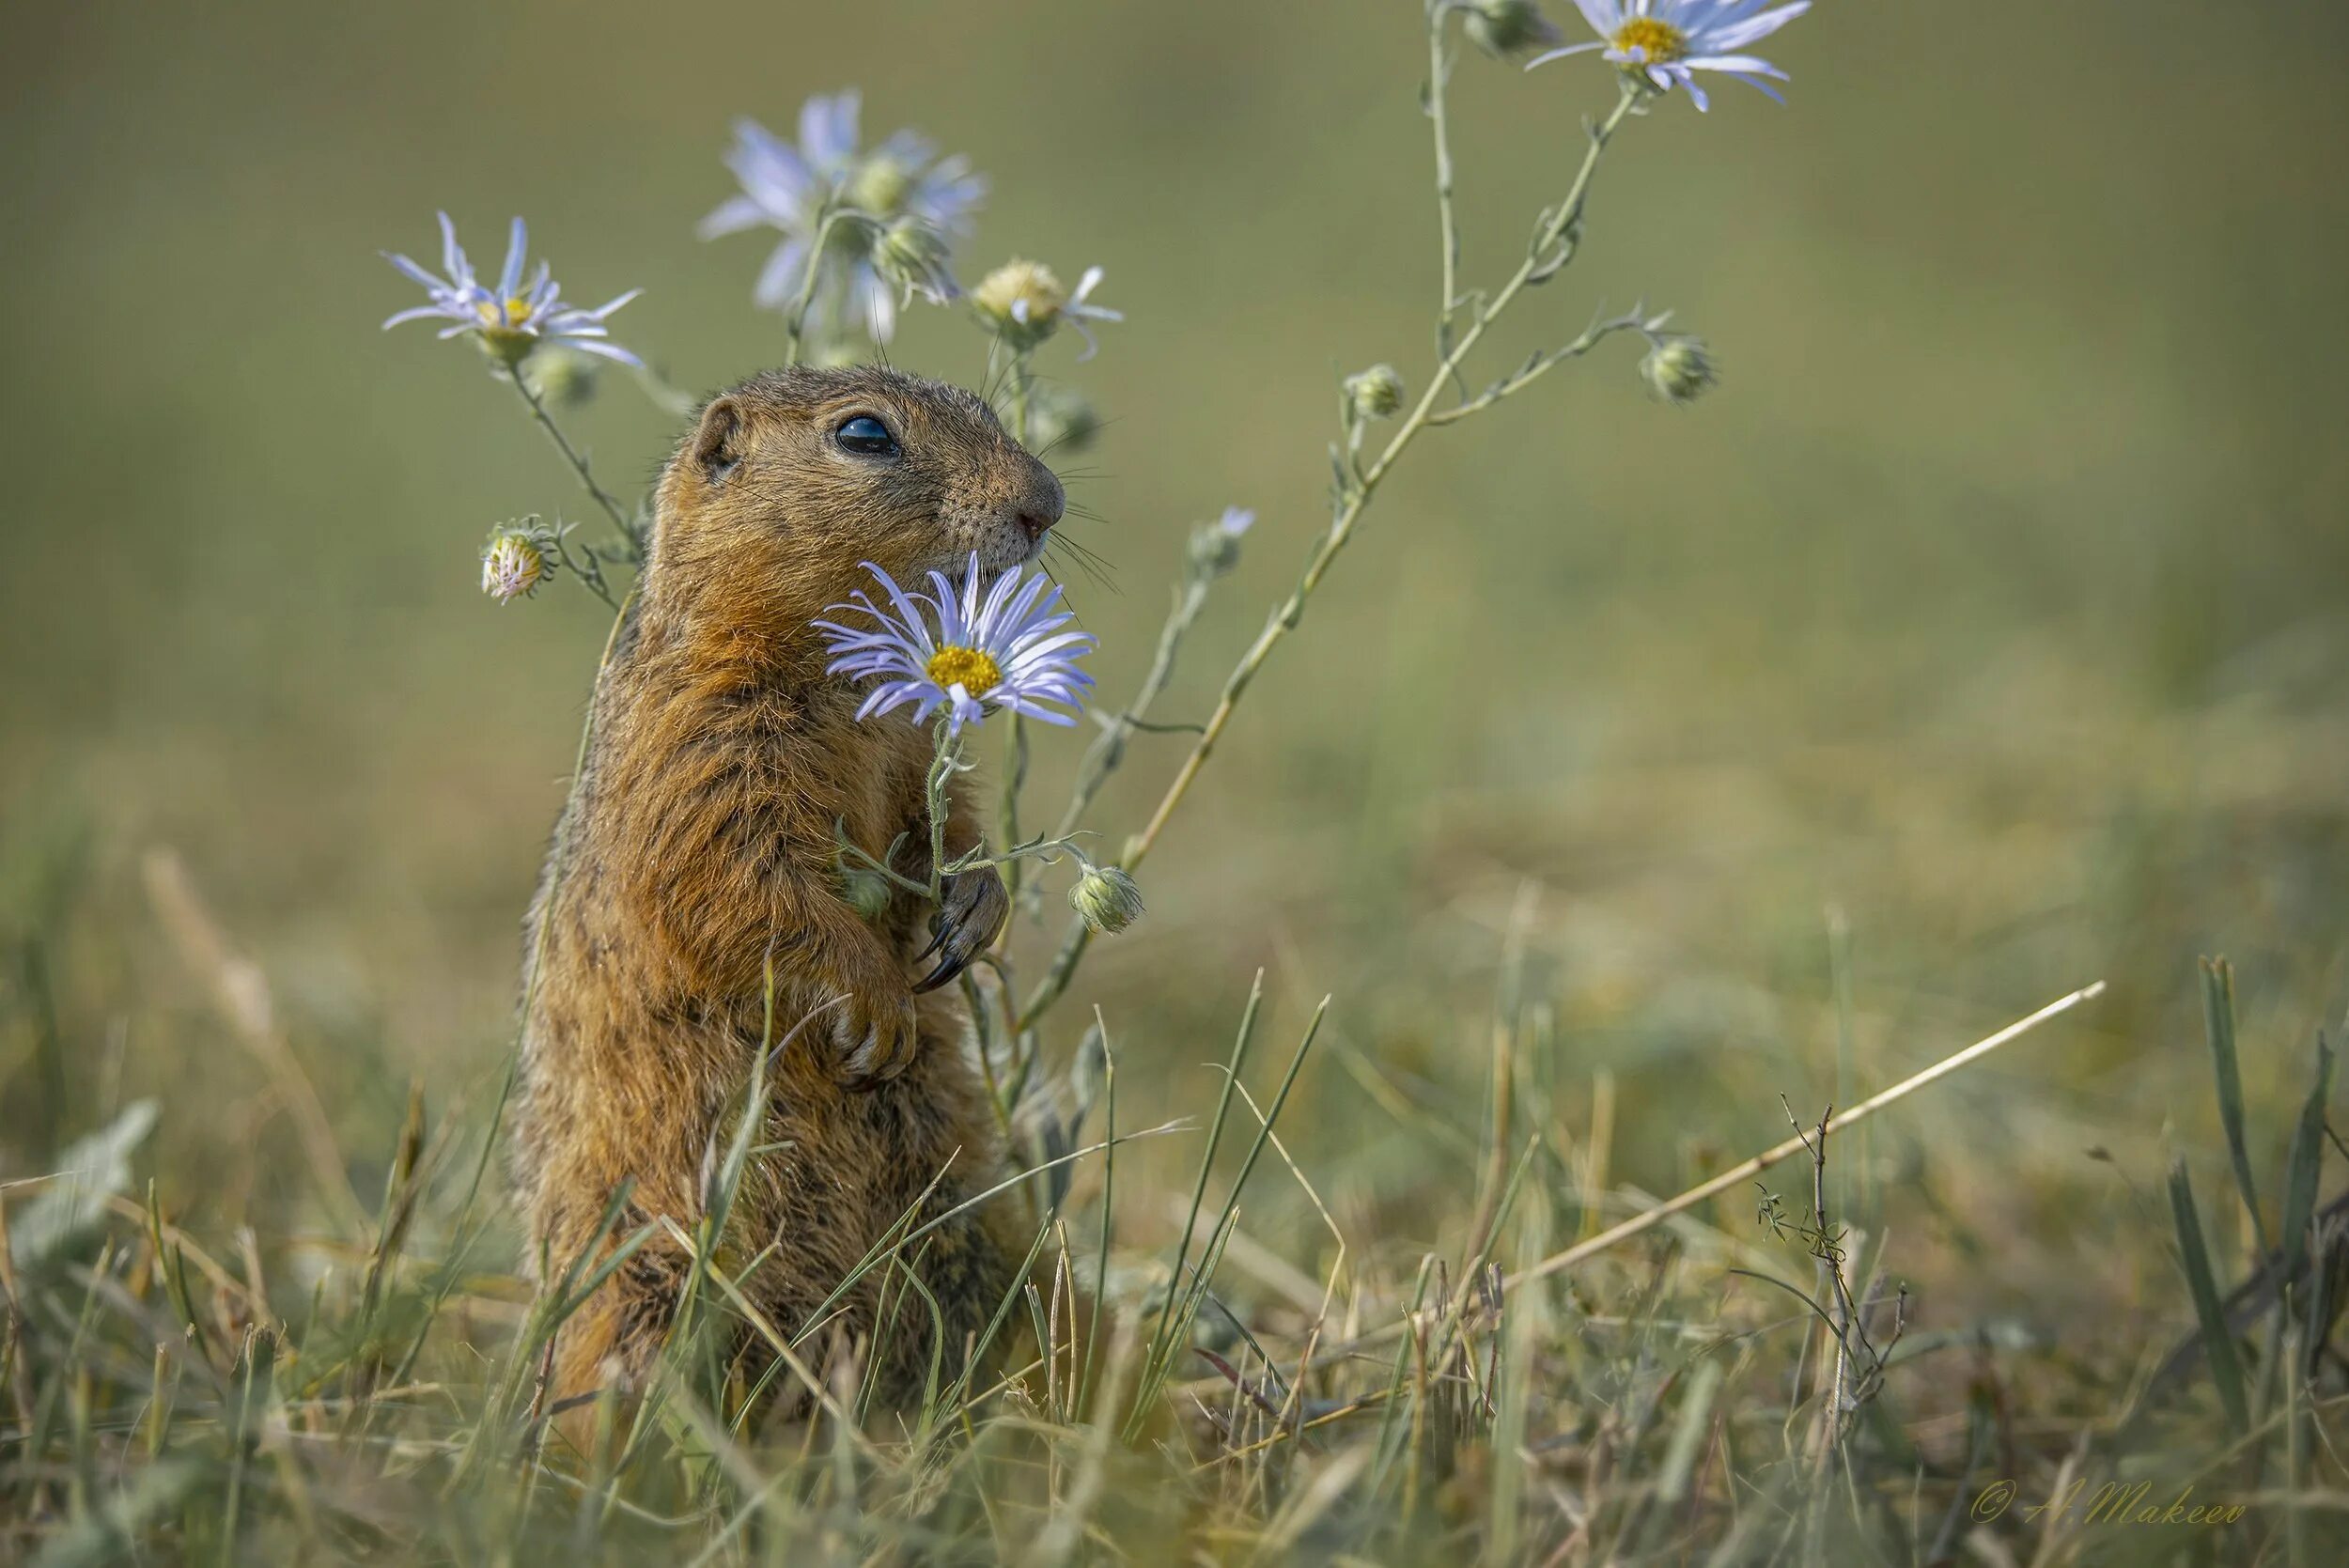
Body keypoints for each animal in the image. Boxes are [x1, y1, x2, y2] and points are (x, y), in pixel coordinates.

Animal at [517, 364, 1076, 1408]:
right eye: (863, 434)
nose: (1047, 502)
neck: (834, 668)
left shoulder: (911, 742)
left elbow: (947, 825)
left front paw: (971, 915)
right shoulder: (701, 743)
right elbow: (738, 881)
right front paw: (879, 1005)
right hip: (647, 1286)